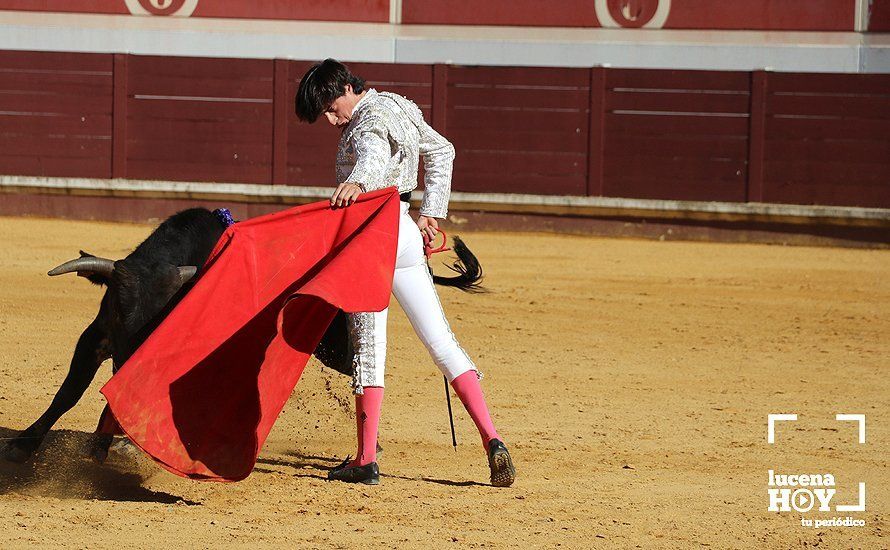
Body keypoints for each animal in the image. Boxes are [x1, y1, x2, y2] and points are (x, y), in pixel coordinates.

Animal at [3, 207, 482, 466]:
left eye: (162, 319)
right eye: (122, 311)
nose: (126, 362)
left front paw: (115, 444)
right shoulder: (97, 336)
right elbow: (68, 392)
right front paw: (23, 445)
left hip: (334, 345)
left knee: (363, 371)